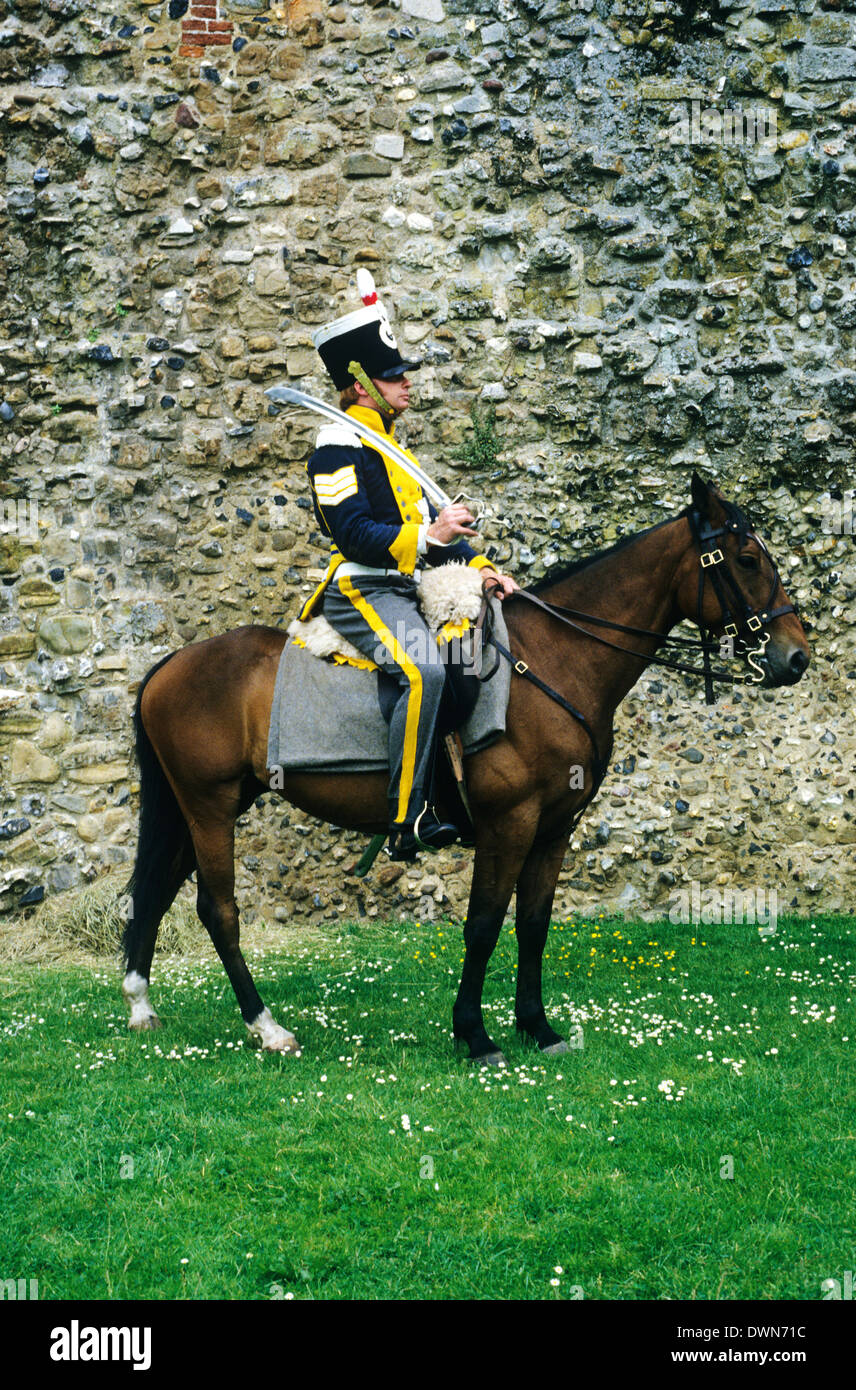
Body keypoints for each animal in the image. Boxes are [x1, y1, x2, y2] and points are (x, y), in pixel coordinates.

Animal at [120, 478, 811, 1061]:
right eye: (747, 559)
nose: (796, 657)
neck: (553, 660)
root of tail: (171, 664)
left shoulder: (553, 830)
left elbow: (533, 925)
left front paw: (538, 1027)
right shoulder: (510, 824)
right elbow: (482, 926)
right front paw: (475, 1036)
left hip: (199, 807)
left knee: (155, 890)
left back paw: (141, 1007)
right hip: (209, 807)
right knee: (219, 910)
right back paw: (267, 1026)